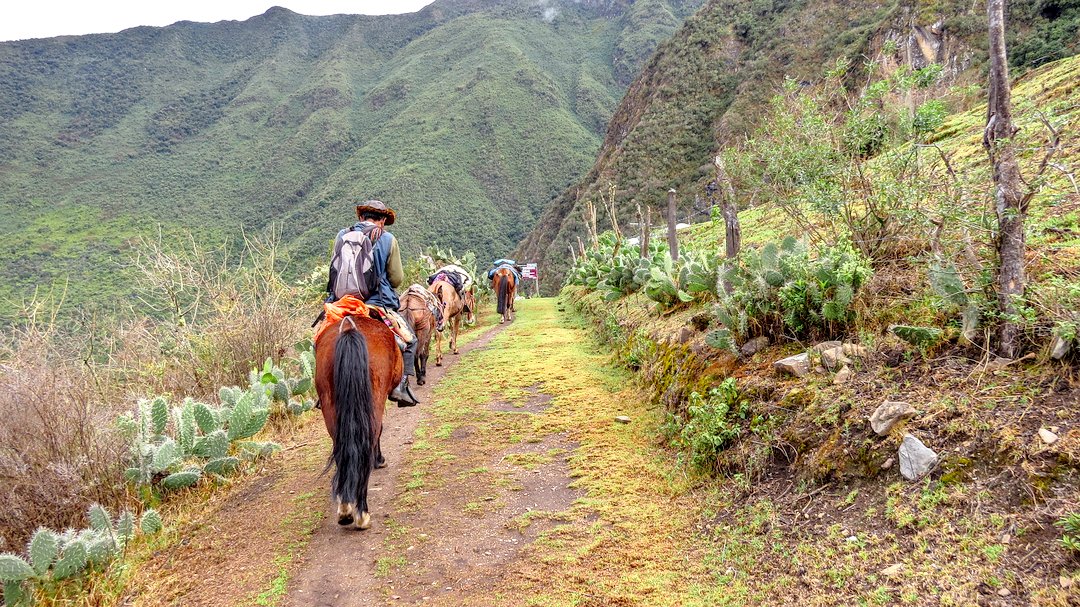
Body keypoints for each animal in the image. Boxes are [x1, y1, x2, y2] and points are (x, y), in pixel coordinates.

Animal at [315, 313, 403, 527]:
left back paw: (345, 509)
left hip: (330, 406)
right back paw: (362, 513)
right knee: (369, 440)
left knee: (341, 449)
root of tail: (349, 329)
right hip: (374, 399)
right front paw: (379, 460)